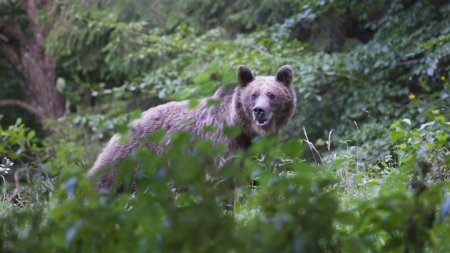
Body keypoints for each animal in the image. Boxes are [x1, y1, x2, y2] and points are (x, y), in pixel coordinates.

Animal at [87, 64, 298, 184]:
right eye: (253, 95)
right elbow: (225, 176)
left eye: (271, 95)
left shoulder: (248, 148)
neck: (239, 126)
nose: (259, 110)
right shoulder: (220, 142)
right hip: (131, 155)